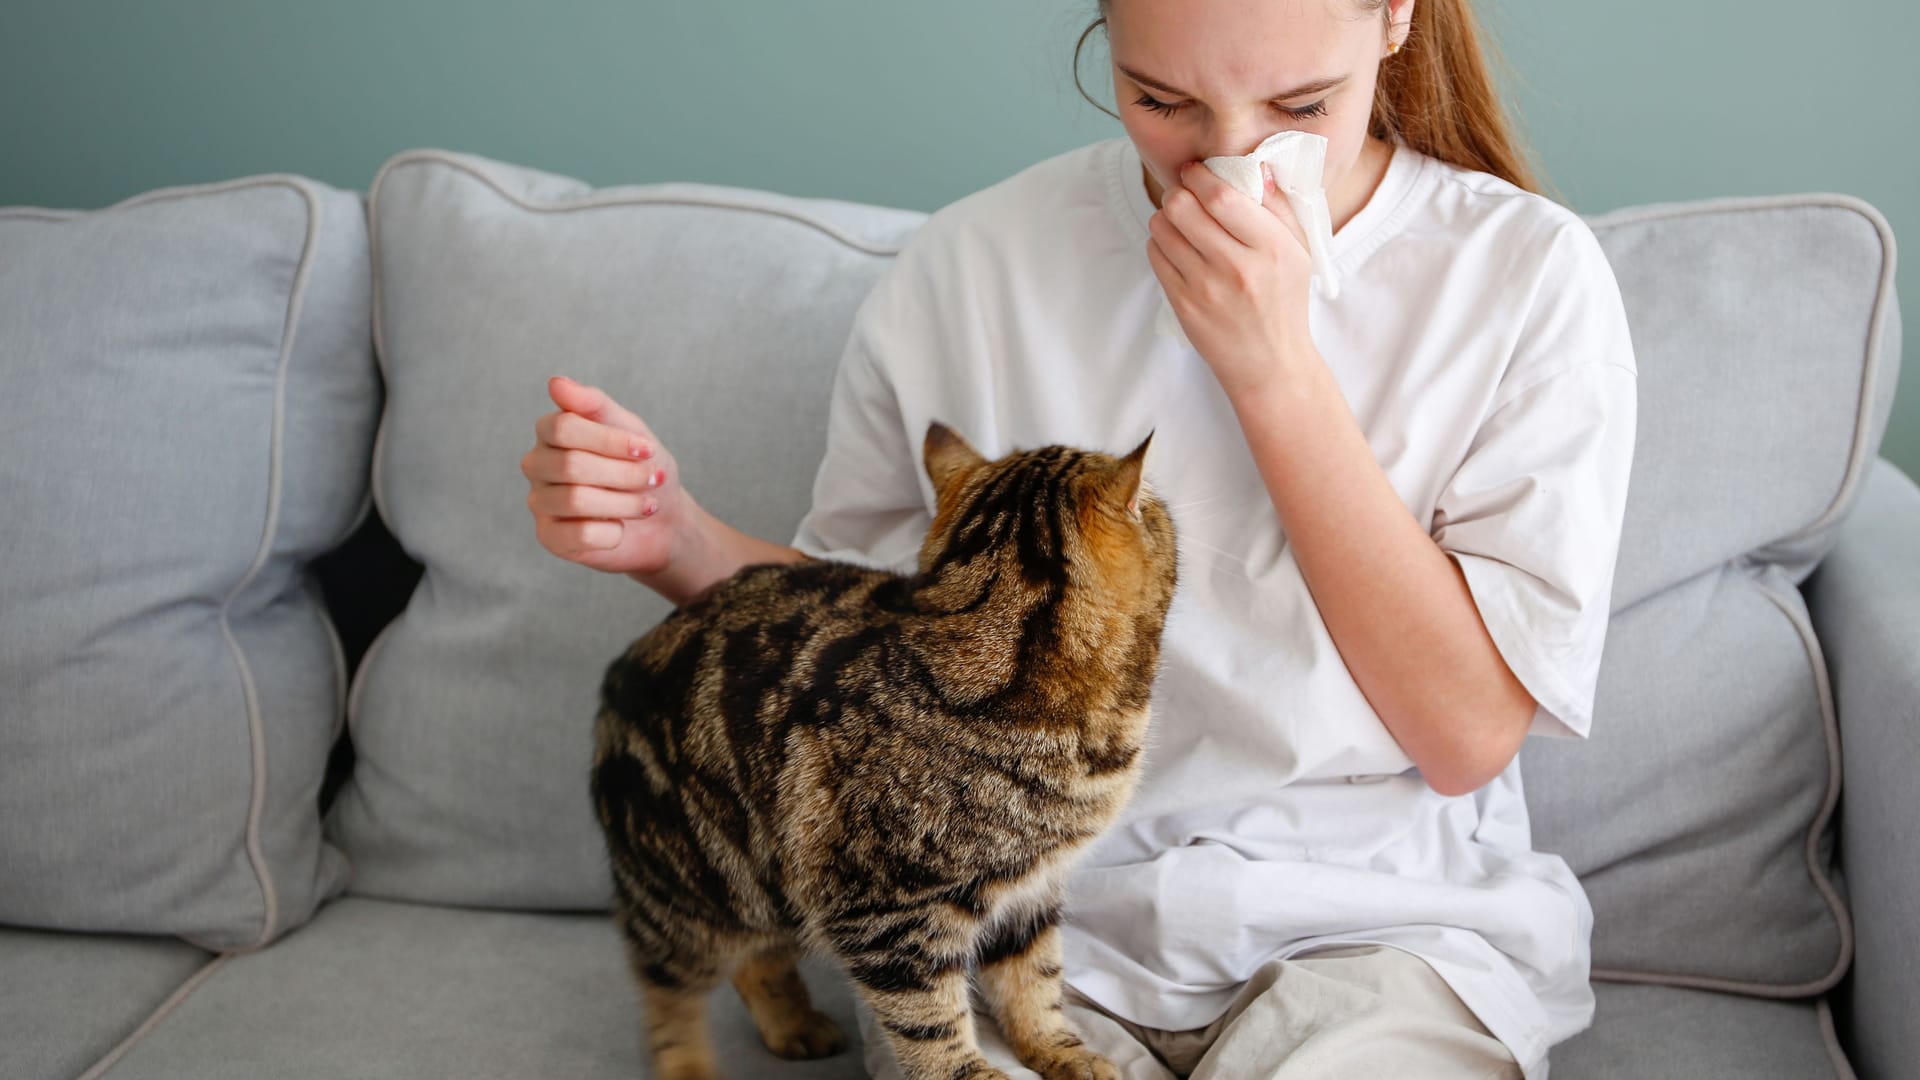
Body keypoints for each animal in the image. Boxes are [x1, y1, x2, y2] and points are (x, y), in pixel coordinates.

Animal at [591, 420, 1175, 1076]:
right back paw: (689, 1063)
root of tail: (621, 668)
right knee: (668, 993)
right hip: (686, 894)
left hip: (771, 877)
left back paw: (794, 1026)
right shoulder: (886, 917)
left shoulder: (1030, 889)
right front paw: (973, 1072)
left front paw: (1061, 1050)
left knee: (757, 957)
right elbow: (931, 1024)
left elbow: (1035, 981)